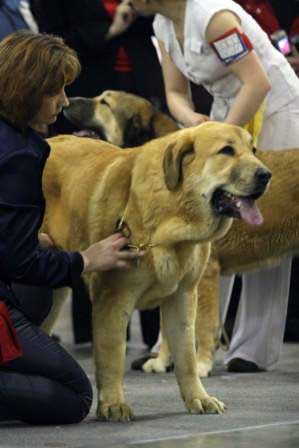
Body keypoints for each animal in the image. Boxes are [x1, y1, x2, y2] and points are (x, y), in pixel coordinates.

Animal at [41, 121, 270, 420]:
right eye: (227, 151)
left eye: (253, 150)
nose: (266, 174)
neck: (171, 220)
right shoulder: (113, 299)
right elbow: (113, 355)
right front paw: (113, 405)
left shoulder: (183, 297)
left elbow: (186, 356)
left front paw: (199, 398)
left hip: (55, 295)